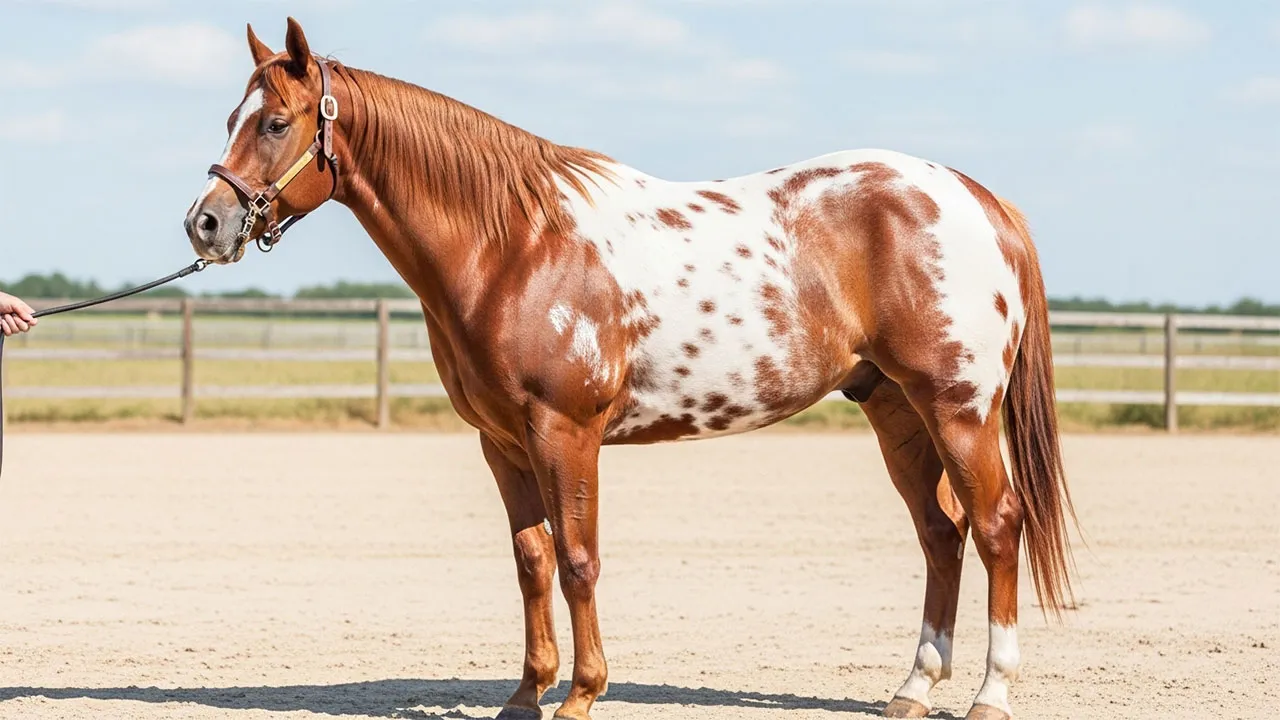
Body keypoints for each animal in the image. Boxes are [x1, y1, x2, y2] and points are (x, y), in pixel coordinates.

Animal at [184, 18, 1076, 720]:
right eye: (231, 117)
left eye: (275, 122)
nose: (206, 223)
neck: (515, 246)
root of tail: (979, 200)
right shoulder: (502, 443)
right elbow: (534, 562)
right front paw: (525, 695)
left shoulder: (565, 432)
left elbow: (580, 560)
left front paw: (582, 694)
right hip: (894, 410)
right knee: (941, 534)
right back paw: (913, 689)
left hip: (959, 409)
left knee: (997, 527)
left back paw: (990, 695)